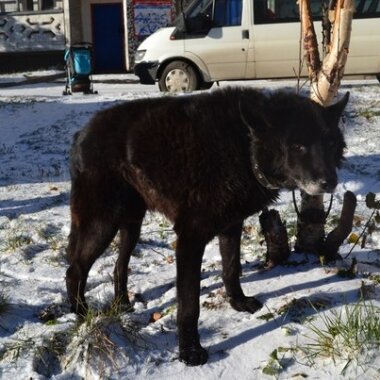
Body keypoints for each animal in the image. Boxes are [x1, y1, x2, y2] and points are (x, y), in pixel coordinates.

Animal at [67, 87, 348, 366]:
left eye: (330, 143)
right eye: (298, 146)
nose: (330, 182)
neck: (243, 147)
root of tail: (82, 132)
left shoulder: (232, 227)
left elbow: (231, 269)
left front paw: (238, 302)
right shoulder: (190, 239)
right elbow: (189, 305)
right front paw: (189, 352)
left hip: (131, 224)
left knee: (118, 266)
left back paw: (122, 305)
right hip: (102, 224)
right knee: (75, 269)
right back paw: (82, 315)